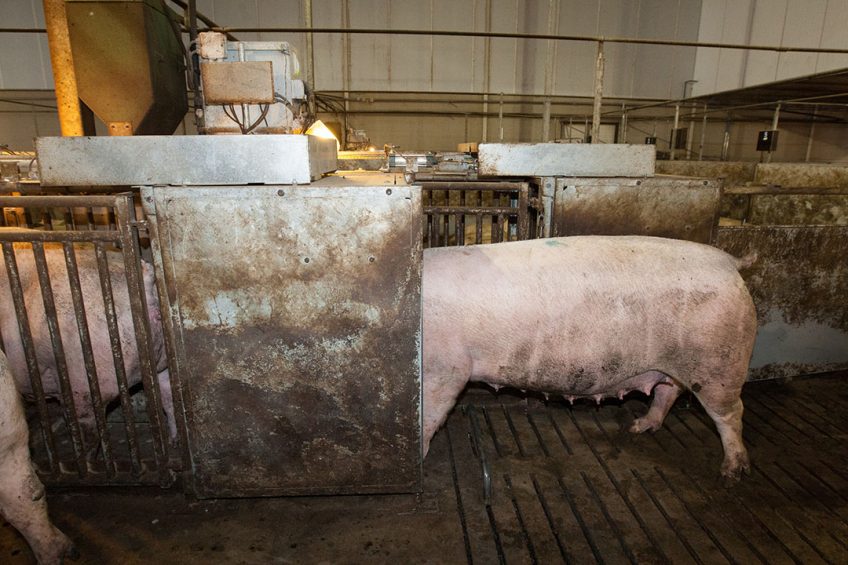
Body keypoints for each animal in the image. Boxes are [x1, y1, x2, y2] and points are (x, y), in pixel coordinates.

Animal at [420, 234, 760, 480]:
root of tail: (730, 262)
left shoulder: (446, 368)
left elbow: (430, 414)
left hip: (718, 363)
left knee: (732, 412)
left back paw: (732, 472)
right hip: (679, 362)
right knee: (669, 390)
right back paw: (639, 427)